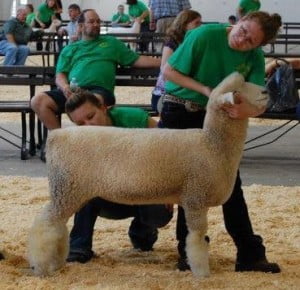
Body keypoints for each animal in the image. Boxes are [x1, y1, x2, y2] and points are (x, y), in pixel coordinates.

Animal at [28, 72, 268, 276]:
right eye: (237, 91)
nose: (266, 90)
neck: (212, 144)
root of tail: (56, 136)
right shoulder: (196, 198)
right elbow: (197, 240)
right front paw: (202, 273)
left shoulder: (189, 197)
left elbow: (191, 237)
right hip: (67, 188)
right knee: (45, 226)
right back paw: (42, 266)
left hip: (70, 191)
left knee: (57, 226)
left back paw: (57, 262)